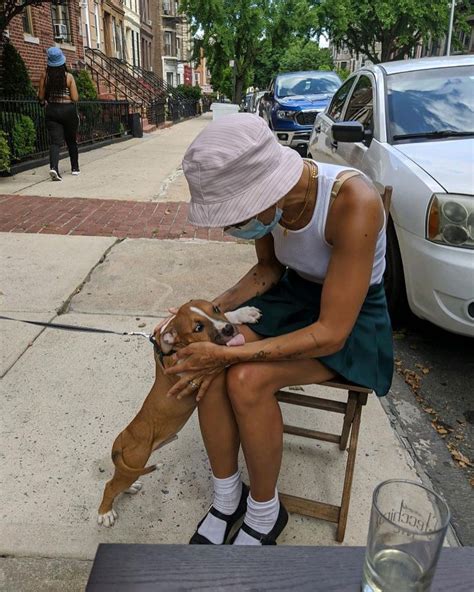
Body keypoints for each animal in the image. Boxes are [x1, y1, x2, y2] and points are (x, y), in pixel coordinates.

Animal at [96, 300, 260, 528]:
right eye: (198, 328)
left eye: (216, 309)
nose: (228, 329)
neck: (174, 347)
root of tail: (120, 441)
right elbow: (215, 358)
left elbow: (229, 316)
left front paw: (245, 313)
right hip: (136, 459)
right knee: (110, 486)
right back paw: (105, 513)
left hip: (131, 466)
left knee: (118, 480)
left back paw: (129, 488)